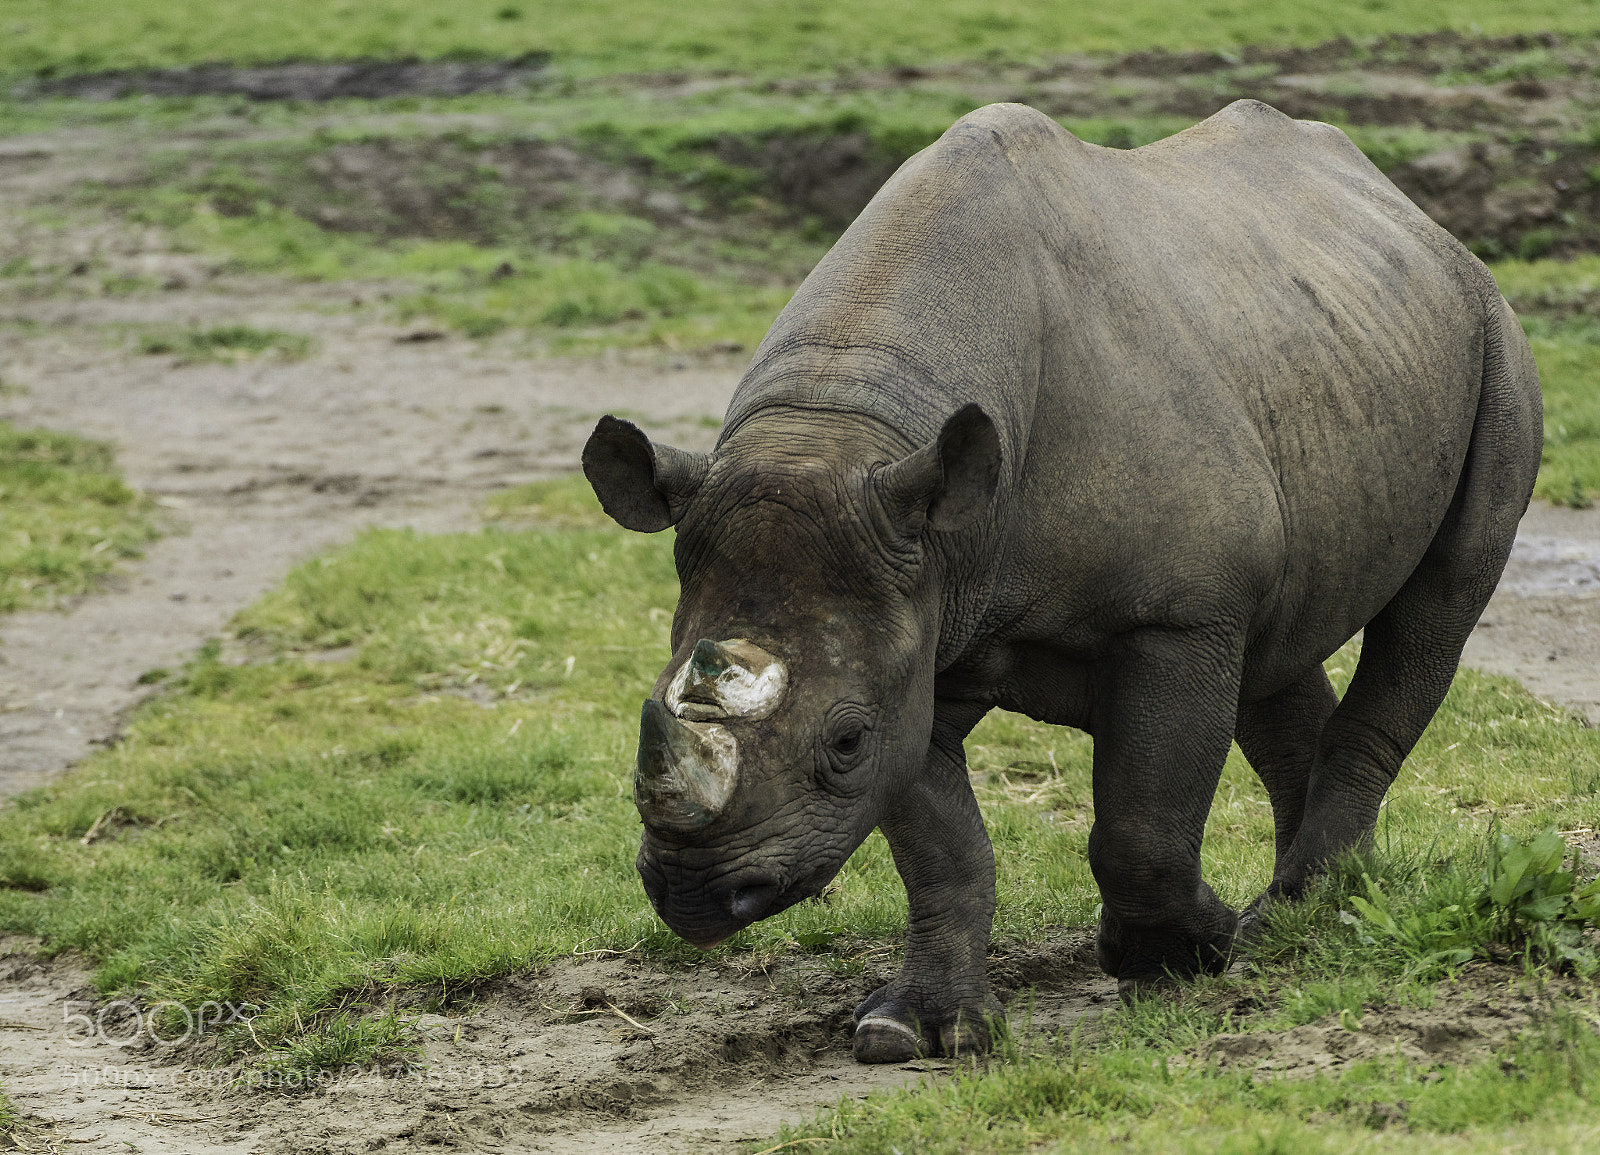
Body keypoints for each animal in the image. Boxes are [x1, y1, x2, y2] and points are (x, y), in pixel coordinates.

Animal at [582, 100, 1542, 1063]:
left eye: (845, 742)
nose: (697, 895)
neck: (844, 428)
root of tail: (1412, 211)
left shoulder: (1173, 614)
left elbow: (1140, 822)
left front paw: (1176, 954)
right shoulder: (919, 615)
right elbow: (942, 845)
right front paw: (914, 1030)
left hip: (1495, 335)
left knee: (1436, 607)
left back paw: (1291, 920)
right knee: (1279, 647)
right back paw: (1327, 907)